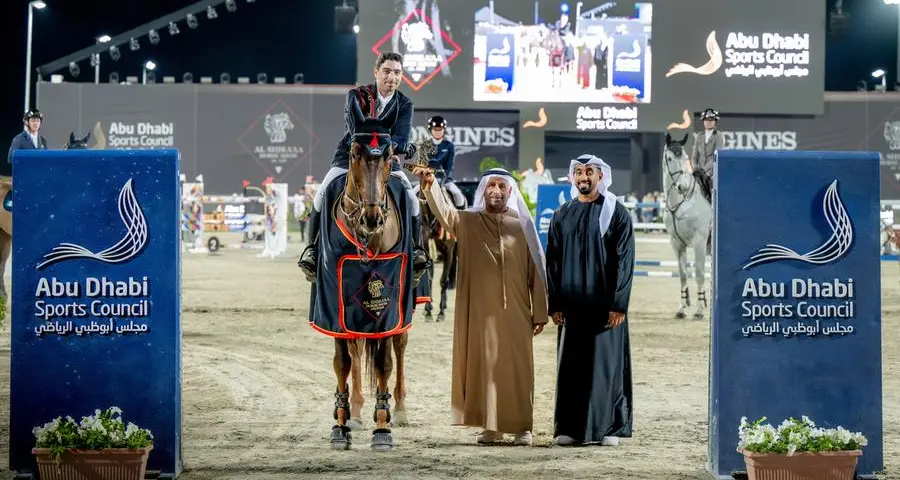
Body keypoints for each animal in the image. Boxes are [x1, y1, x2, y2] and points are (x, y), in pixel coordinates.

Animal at [660, 132, 712, 318]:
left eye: (685, 157)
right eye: (669, 158)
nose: (682, 186)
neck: (682, 203)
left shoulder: (699, 241)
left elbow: (699, 273)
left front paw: (699, 309)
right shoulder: (676, 243)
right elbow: (683, 275)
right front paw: (682, 308)